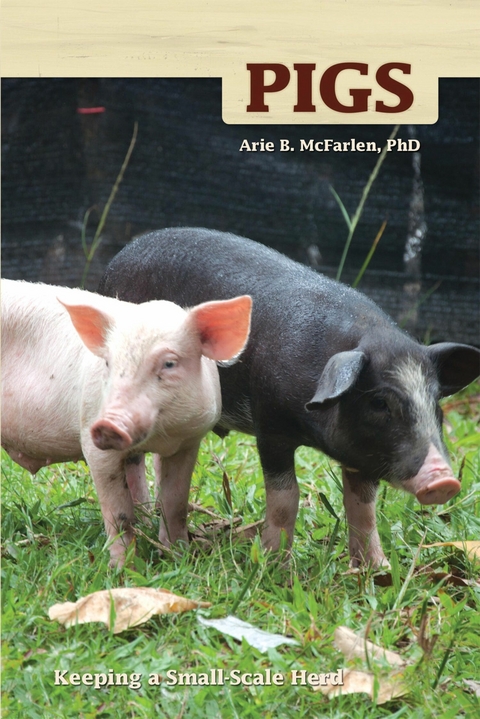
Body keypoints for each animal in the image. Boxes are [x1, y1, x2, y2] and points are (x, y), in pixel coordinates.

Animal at [1, 279, 252, 567]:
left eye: (169, 363)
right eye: (109, 363)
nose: (109, 424)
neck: (161, 436)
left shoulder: (189, 442)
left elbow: (175, 503)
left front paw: (179, 557)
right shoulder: (92, 441)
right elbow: (118, 514)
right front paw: (123, 568)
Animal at [98, 228, 480, 569]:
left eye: (436, 403)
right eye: (379, 403)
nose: (444, 481)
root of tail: (118, 258)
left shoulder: (361, 455)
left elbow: (363, 507)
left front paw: (377, 569)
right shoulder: (270, 426)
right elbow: (286, 498)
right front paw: (274, 566)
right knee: (133, 458)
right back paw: (144, 518)